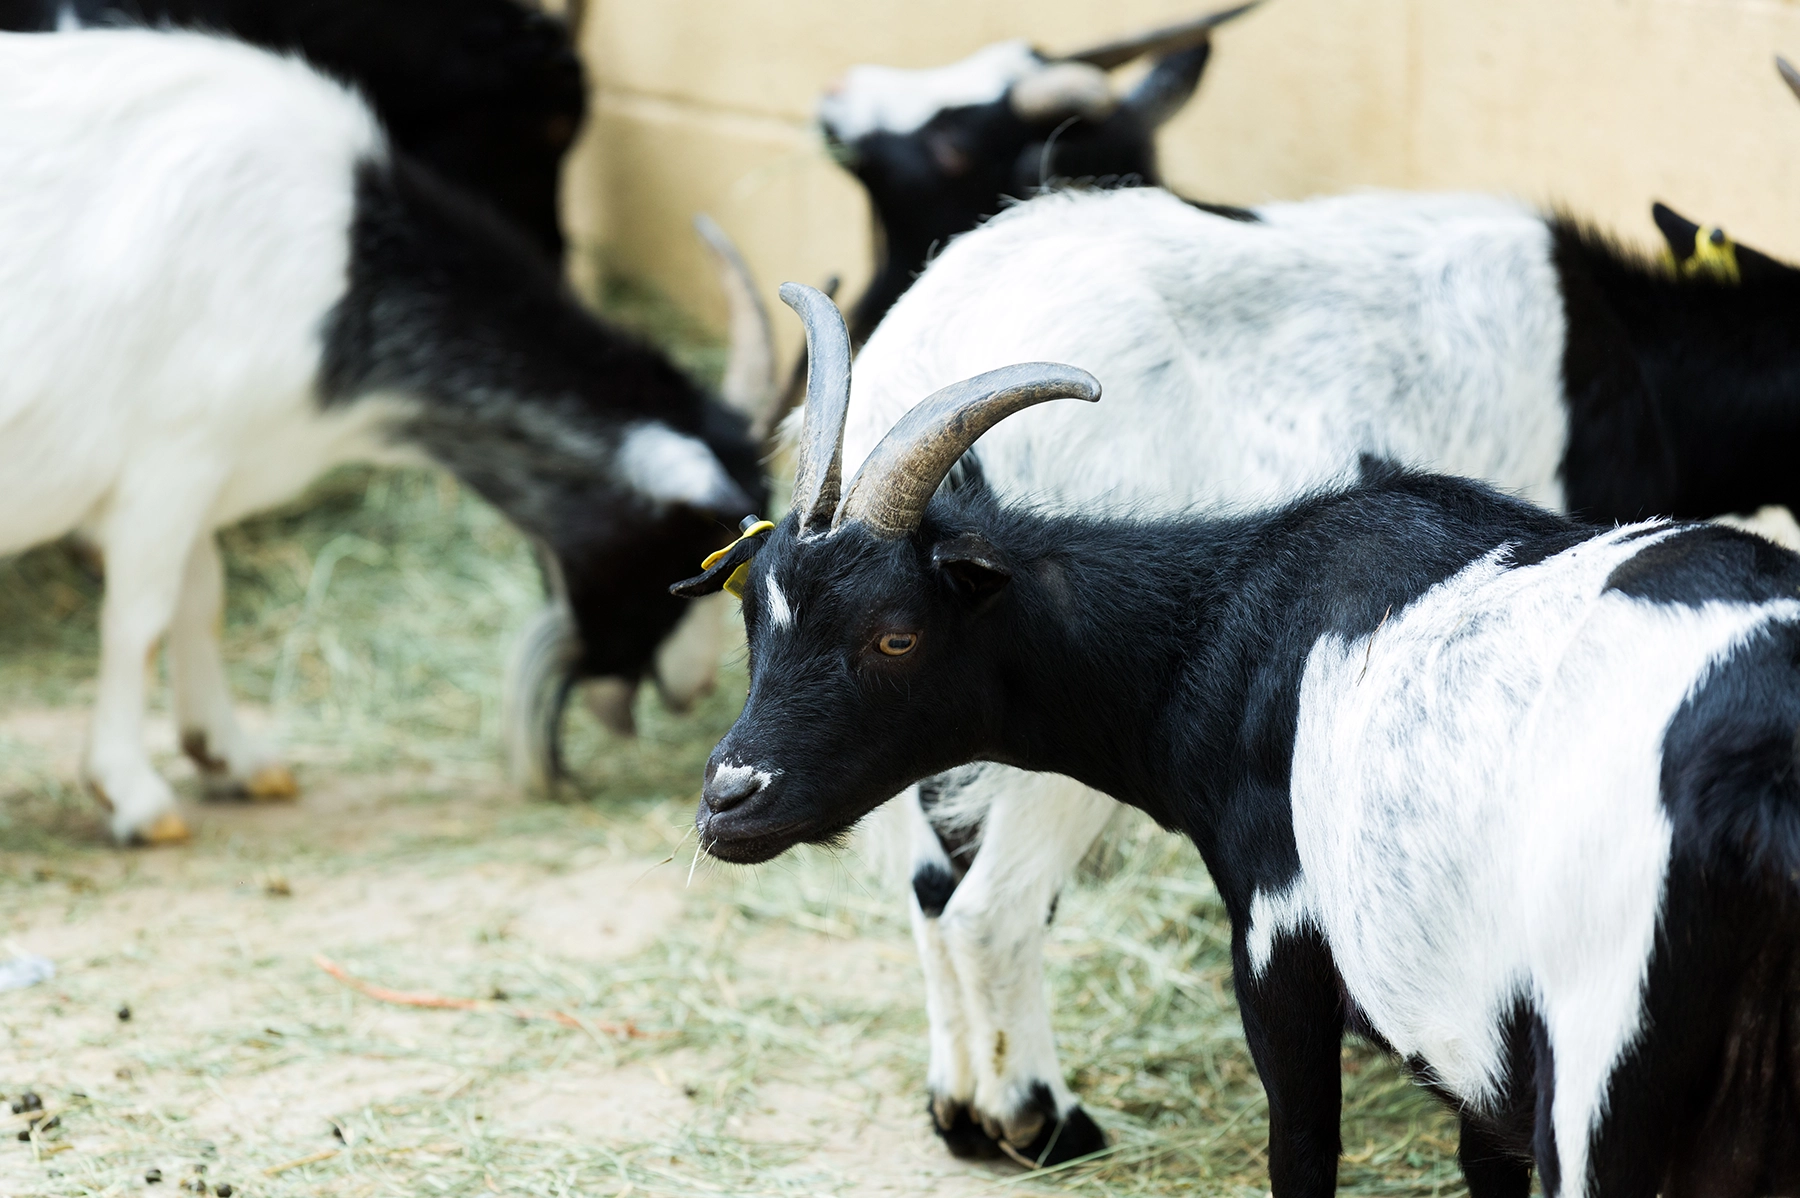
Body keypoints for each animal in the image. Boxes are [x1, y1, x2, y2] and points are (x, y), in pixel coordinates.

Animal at [0, 27, 778, 843]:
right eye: (698, 549)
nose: (691, 689)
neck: (348, 272)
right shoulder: (171, 458)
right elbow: (141, 617)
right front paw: (135, 797)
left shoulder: (205, 470)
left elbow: (200, 599)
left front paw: (233, 757)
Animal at [773, 55, 1800, 1167]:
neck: (1630, 358)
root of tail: (915, 364)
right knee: (989, 909)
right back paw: (1040, 1121)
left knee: (930, 888)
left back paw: (961, 1112)